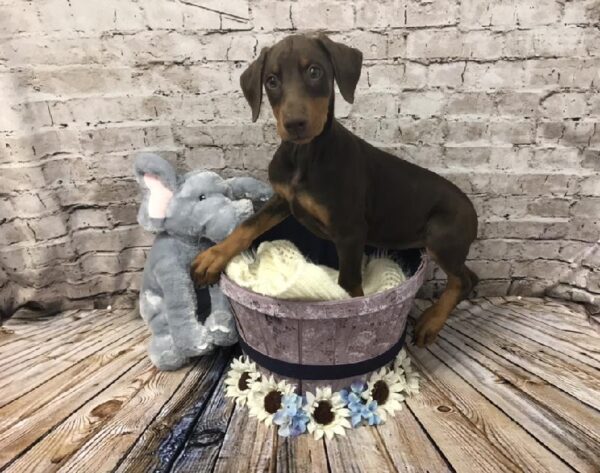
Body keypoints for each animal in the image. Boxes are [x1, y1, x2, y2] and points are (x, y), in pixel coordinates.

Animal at [192, 31, 478, 344]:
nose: (295, 124)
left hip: (441, 235)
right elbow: (248, 225)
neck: (304, 155)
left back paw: (431, 321)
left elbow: (349, 284)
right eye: (272, 80)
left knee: (465, 280)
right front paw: (213, 257)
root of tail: (472, 211)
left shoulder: (350, 231)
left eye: (314, 71)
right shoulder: (283, 198)